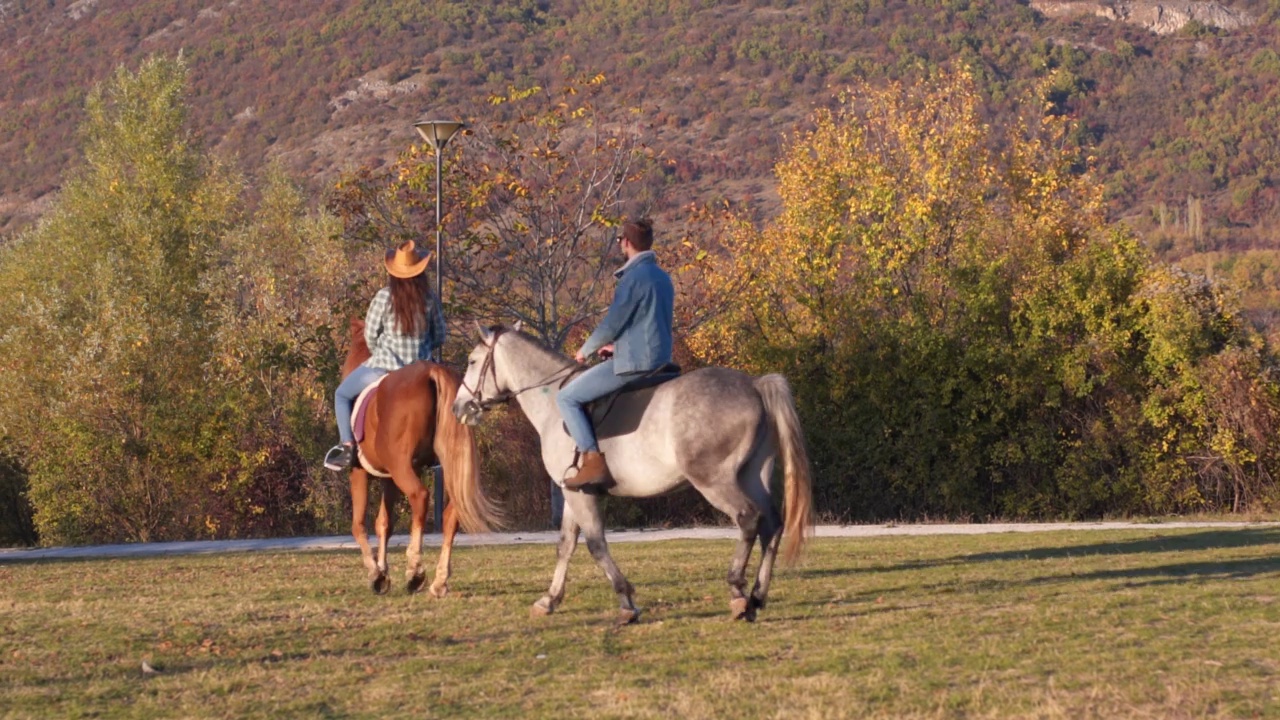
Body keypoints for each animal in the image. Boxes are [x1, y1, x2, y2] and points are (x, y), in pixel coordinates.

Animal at [340, 316, 499, 591]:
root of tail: (430, 372)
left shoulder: (359, 473)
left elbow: (359, 525)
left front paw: (376, 573)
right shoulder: (389, 479)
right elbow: (384, 524)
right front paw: (383, 571)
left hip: (403, 470)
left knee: (420, 497)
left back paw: (415, 569)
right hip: (445, 468)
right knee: (451, 513)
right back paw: (440, 580)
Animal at [450, 322, 808, 620]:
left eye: (472, 361)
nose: (458, 408)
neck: (553, 401)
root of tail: (754, 384)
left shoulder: (580, 494)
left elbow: (595, 544)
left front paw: (625, 601)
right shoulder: (573, 491)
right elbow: (565, 545)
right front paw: (549, 600)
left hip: (715, 481)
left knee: (748, 519)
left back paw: (737, 590)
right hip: (753, 475)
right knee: (772, 525)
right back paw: (757, 597)